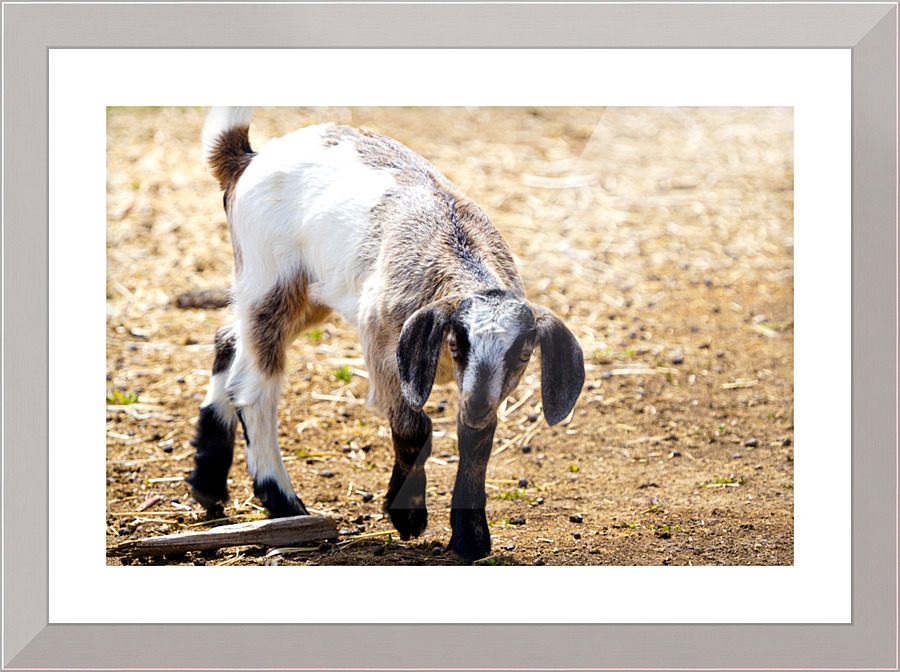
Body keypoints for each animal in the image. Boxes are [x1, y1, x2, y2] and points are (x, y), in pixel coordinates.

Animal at [187, 107, 585, 561]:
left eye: (523, 354)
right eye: (455, 342)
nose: (478, 402)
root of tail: (245, 157)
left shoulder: (479, 386)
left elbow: (477, 437)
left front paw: (470, 538)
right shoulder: (383, 347)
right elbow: (415, 428)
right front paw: (407, 516)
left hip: (306, 293)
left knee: (227, 340)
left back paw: (207, 482)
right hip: (270, 279)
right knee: (253, 389)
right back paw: (285, 505)